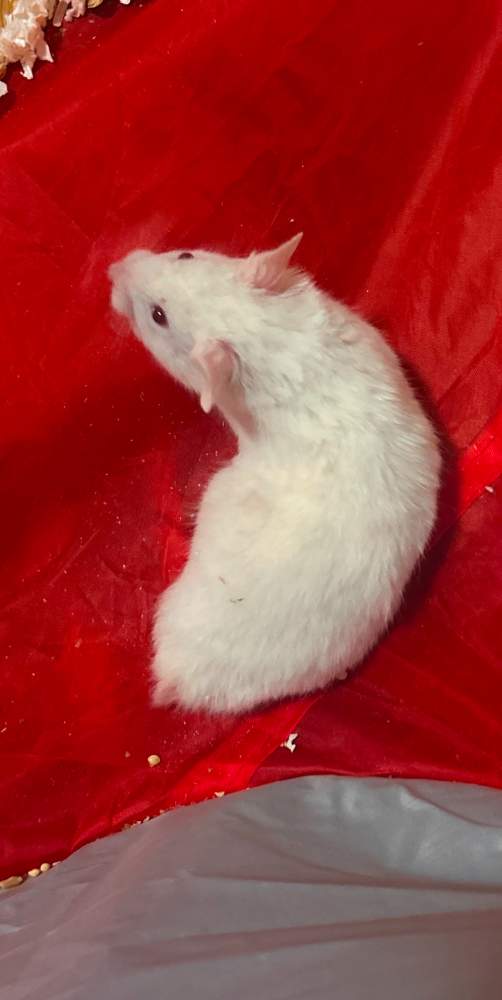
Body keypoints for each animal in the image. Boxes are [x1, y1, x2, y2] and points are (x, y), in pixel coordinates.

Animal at [109, 234, 440, 714]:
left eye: (158, 317)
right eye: (184, 254)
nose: (112, 270)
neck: (268, 341)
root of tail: (180, 681)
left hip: (218, 494)